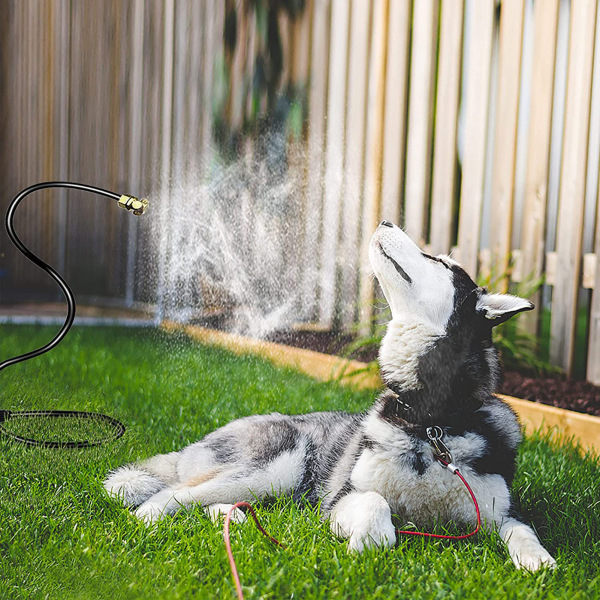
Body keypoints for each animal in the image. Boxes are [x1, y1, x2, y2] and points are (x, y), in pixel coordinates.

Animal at [104, 223, 556, 568]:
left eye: (441, 263)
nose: (386, 221)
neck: (431, 424)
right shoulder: (340, 499)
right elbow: (376, 503)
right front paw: (369, 542)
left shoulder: (499, 512)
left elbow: (524, 530)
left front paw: (538, 560)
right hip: (275, 467)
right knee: (176, 492)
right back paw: (147, 519)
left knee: (223, 503)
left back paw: (233, 521)